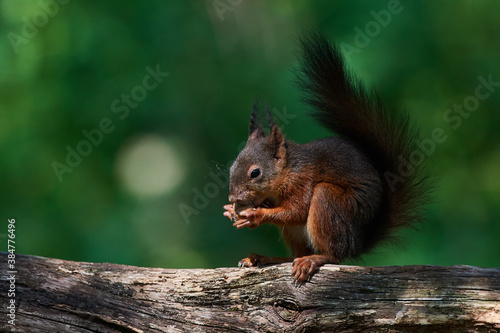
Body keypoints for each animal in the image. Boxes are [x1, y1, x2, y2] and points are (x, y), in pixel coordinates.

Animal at [223, 31, 430, 282]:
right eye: (232, 168)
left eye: (255, 173)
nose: (233, 198)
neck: (288, 171)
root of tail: (356, 244)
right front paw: (230, 211)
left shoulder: (302, 181)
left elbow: (297, 210)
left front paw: (256, 215)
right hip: (295, 233)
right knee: (295, 254)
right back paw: (263, 258)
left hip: (330, 202)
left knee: (333, 255)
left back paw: (313, 259)